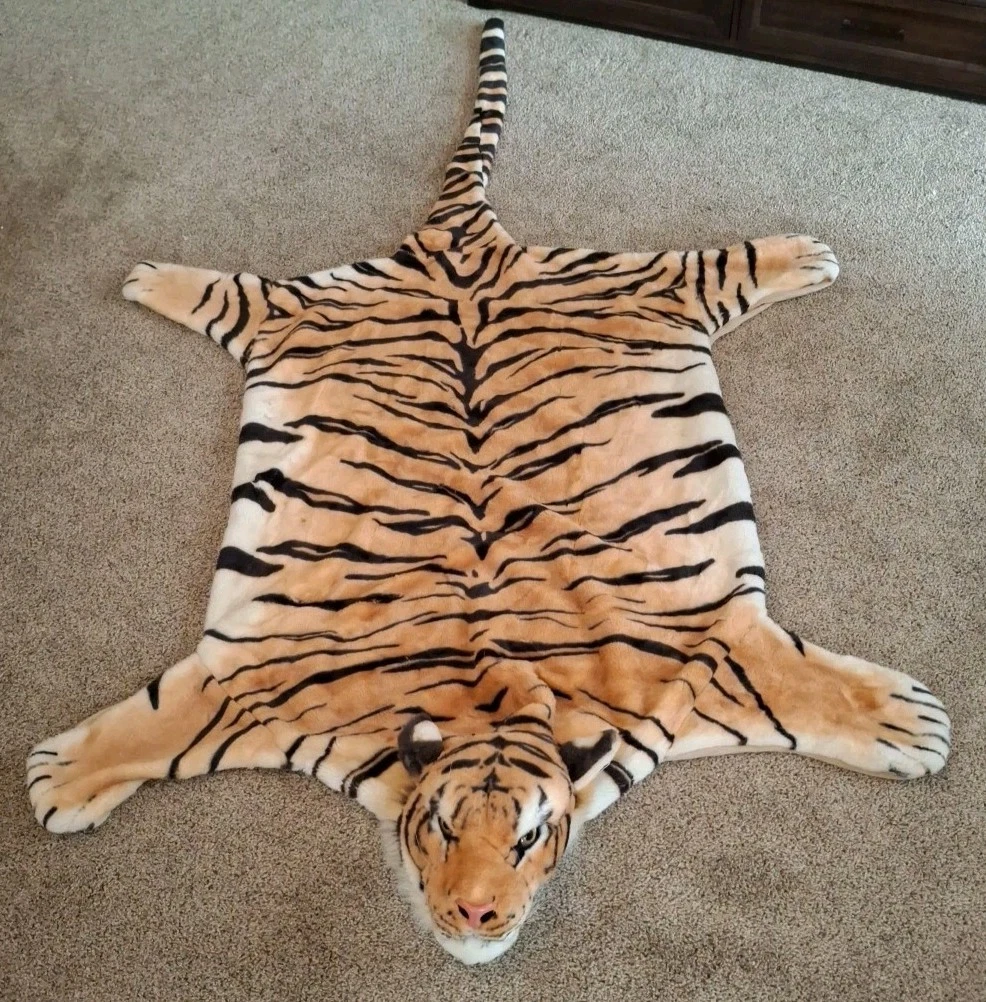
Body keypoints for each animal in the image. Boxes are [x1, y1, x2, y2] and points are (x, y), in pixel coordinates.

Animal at [26, 18, 950, 965]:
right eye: (440, 827)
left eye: (530, 838)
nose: (476, 916)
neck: (495, 687)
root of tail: (462, 238)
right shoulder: (250, 677)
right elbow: (157, 723)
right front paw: (60, 777)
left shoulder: (710, 661)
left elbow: (800, 686)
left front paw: (908, 723)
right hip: (307, 311)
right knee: (241, 292)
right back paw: (150, 277)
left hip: (630, 287)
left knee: (703, 268)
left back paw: (802, 254)